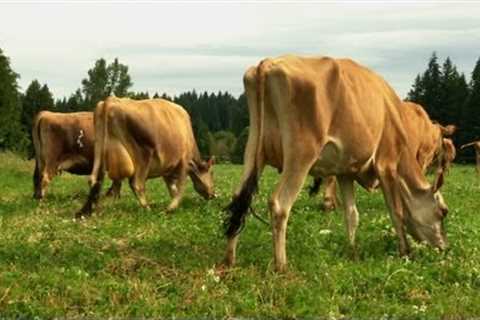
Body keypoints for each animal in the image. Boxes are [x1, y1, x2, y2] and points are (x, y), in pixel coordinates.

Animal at [76, 97, 215, 218]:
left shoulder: (167, 169)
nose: (213, 194)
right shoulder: (183, 162)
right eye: (212, 174)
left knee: (95, 179)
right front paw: (171, 208)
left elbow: (172, 188)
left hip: (99, 149)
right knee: (136, 183)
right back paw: (147, 208)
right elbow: (180, 187)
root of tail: (110, 101)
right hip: (144, 154)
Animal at [223, 54, 448, 270]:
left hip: (253, 151)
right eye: (443, 212)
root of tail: (268, 63)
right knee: (279, 204)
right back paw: (281, 266)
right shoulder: (387, 163)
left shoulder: (345, 171)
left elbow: (352, 214)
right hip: (301, 154)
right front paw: (406, 252)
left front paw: (352, 252)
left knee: (239, 198)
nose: (444, 247)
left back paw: (229, 259)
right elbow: (397, 211)